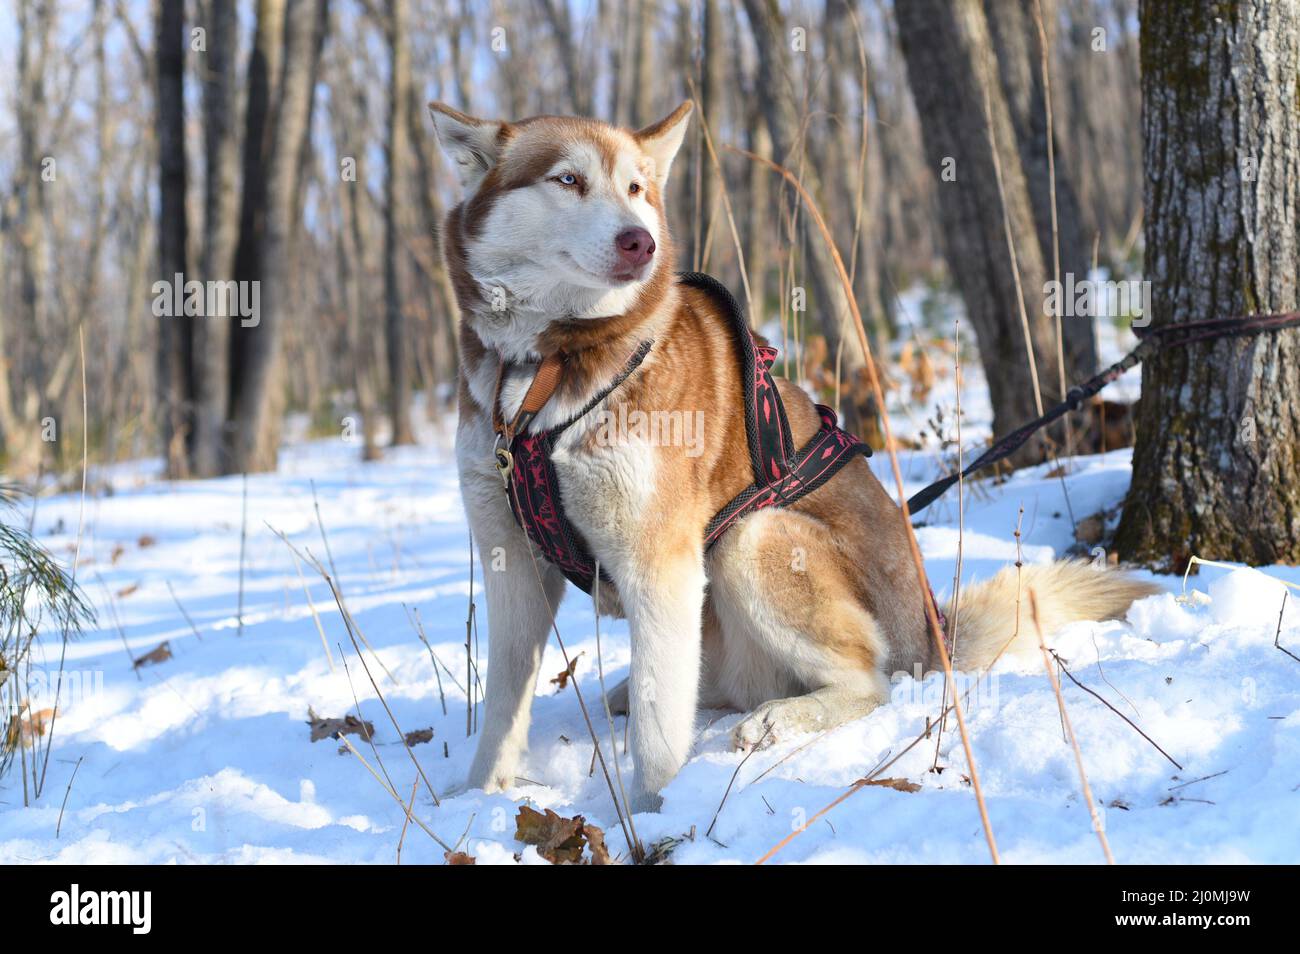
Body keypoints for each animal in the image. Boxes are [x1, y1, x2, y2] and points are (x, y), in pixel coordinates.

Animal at [428, 100, 1159, 811]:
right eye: (568, 180)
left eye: (636, 188)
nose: (642, 241)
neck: (545, 369)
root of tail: (933, 635)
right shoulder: (511, 557)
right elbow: (503, 703)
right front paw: (476, 798)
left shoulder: (659, 560)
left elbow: (660, 737)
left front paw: (655, 815)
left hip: (752, 538)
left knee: (867, 681)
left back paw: (775, 720)